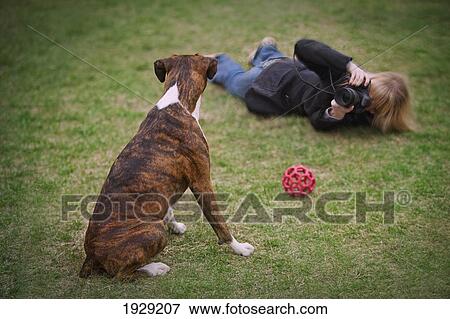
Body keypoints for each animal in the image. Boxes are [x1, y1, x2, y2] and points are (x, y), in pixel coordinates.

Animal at [79, 53, 255, 278]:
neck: (177, 100)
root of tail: (91, 256)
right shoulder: (202, 182)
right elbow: (220, 223)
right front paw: (239, 248)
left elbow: (169, 205)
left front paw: (175, 225)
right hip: (154, 232)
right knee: (122, 274)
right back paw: (155, 268)